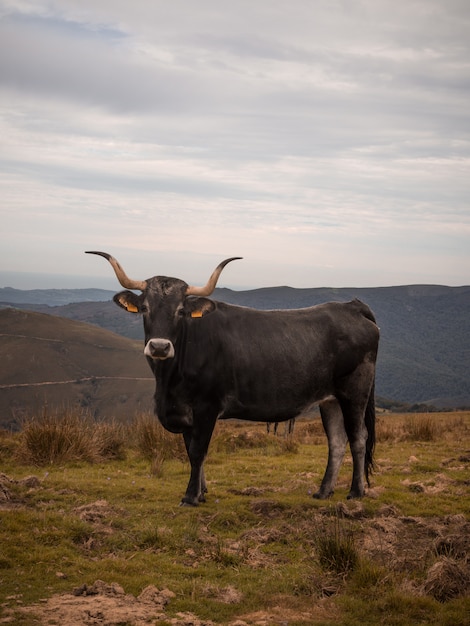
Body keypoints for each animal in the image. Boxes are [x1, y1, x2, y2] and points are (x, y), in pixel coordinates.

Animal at [86, 251, 380, 504]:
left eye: (180, 310)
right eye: (145, 308)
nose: (159, 347)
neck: (169, 383)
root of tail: (351, 306)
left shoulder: (207, 406)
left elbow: (198, 451)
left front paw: (190, 497)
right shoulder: (185, 410)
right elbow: (191, 451)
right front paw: (201, 492)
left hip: (355, 391)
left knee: (358, 437)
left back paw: (356, 492)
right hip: (330, 399)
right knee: (337, 441)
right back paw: (323, 491)